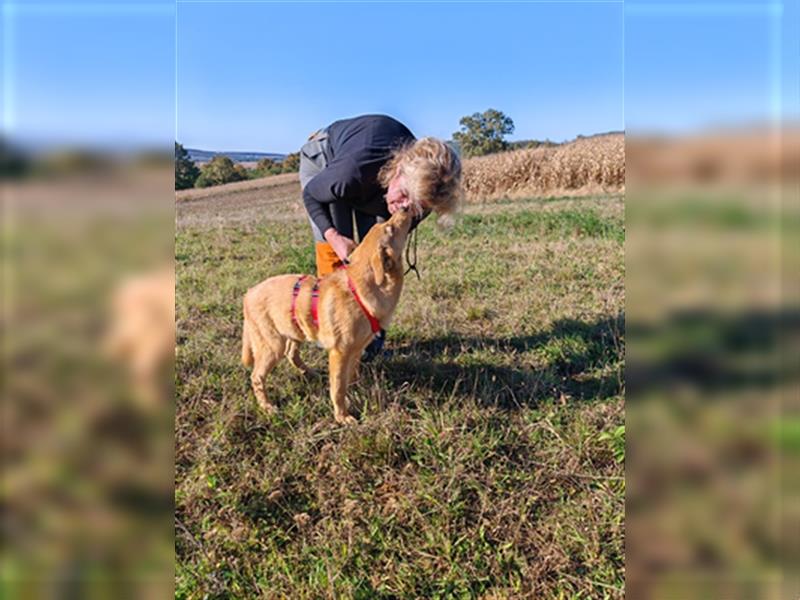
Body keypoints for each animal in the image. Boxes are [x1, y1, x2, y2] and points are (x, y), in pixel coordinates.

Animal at [242, 209, 412, 424]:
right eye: (390, 228)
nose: (404, 208)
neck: (362, 289)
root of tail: (248, 294)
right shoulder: (339, 352)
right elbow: (338, 389)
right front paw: (342, 416)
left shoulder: (356, 350)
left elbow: (351, 377)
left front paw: (356, 392)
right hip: (272, 346)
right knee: (257, 377)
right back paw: (267, 406)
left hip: (295, 331)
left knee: (292, 354)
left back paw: (310, 373)